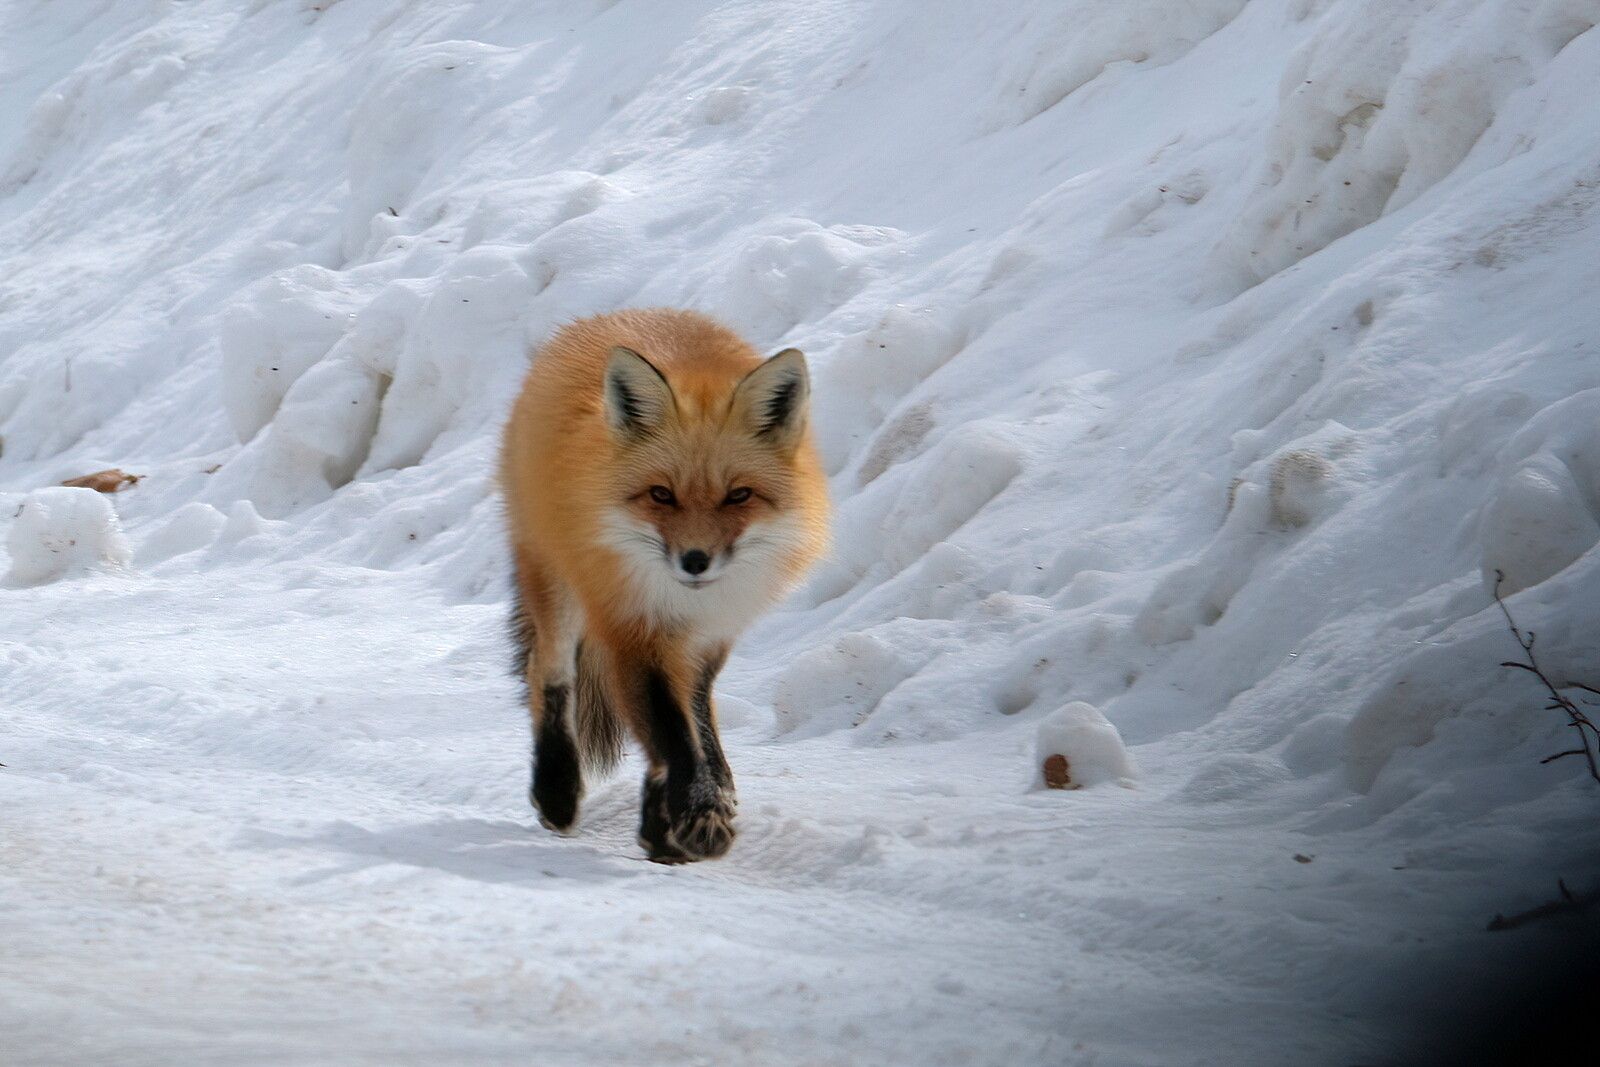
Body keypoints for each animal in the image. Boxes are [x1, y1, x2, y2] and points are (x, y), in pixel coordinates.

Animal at [499, 308, 830, 862]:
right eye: (661, 495)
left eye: (738, 495)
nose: (694, 562)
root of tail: (606, 317)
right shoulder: (632, 626)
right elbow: (672, 734)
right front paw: (698, 815)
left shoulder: (709, 633)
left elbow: (687, 724)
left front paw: (678, 819)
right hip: (557, 583)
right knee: (547, 672)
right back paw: (557, 790)